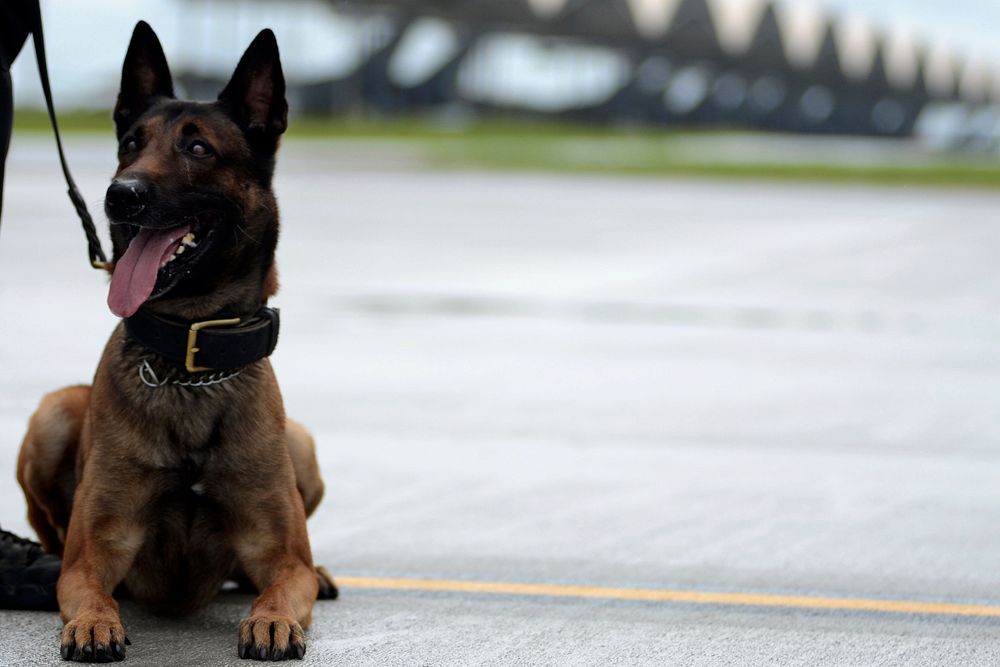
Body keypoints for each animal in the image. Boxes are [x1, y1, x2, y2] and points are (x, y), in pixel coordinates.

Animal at [16, 20, 336, 664]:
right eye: (130, 143)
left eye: (198, 149)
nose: (121, 195)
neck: (189, 360)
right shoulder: (94, 553)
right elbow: (89, 588)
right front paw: (94, 624)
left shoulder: (283, 557)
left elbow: (287, 583)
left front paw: (270, 620)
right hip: (53, 413)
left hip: (302, 443)